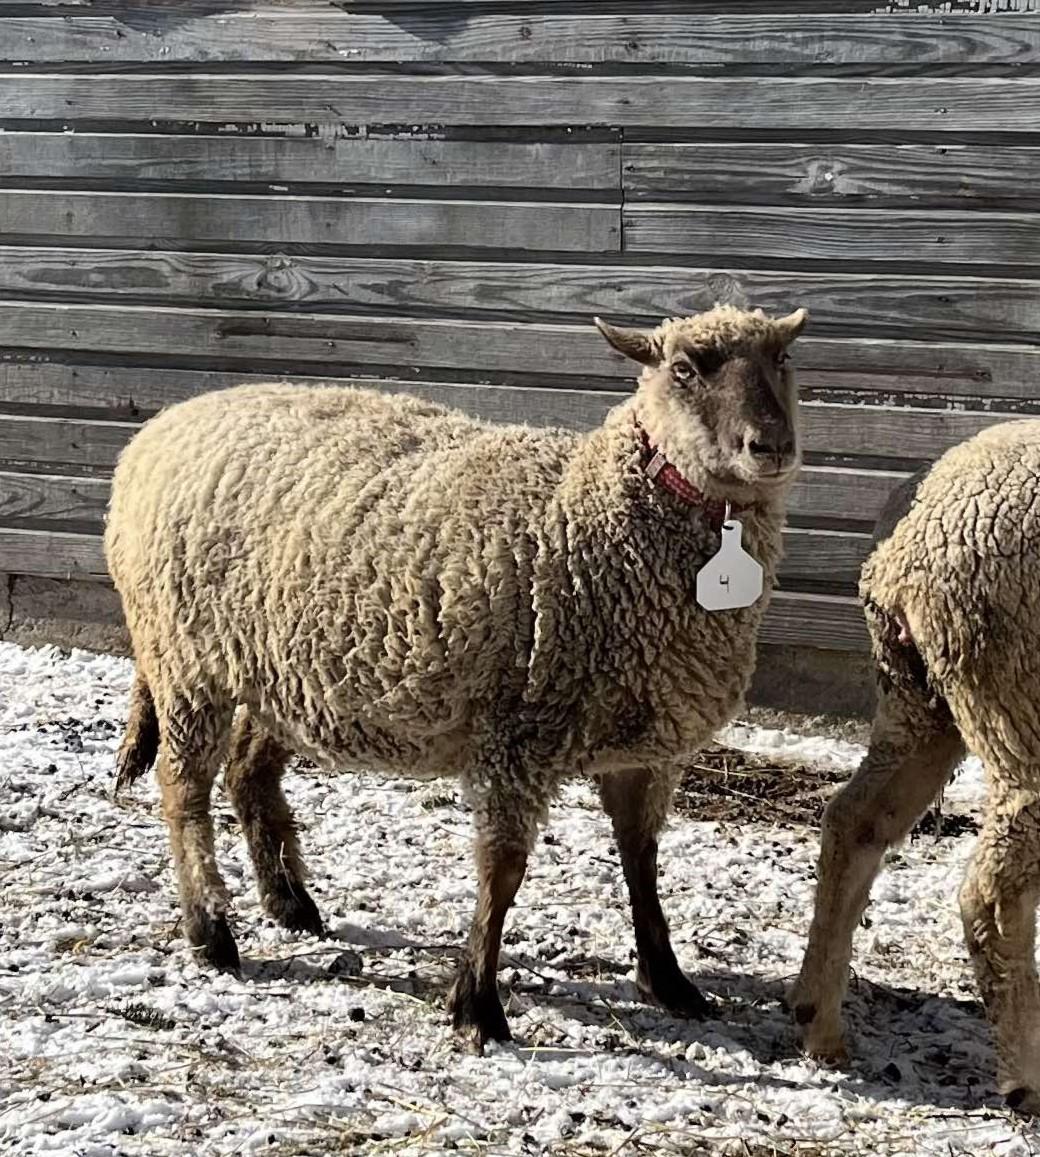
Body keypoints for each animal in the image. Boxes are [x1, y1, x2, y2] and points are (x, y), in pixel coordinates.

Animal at [105, 304, 809, 1050]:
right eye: (683, 369)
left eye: (783, 358)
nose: (770, 446)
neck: (591, 513)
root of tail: (161, 427)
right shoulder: (516, 736)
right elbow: (502, 873)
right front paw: (477, 1005)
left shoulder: (648, 747)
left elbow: (641, 861)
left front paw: (669, 981)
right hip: (185, 661)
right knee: (183, 787)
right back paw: (210, 929)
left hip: (284, 673)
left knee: (248, 772)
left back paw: (289, 902)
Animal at [789, 418, 1040, 1111]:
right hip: (1015, 706)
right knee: (991, 894)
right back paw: (1026, 1080)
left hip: (918, 699)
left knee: (853, 821)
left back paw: (818, 1023)